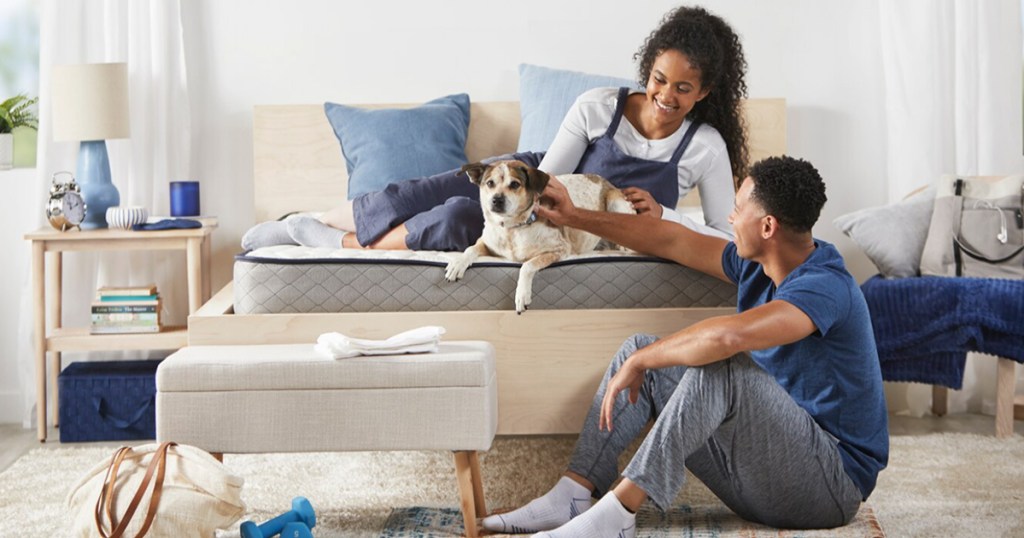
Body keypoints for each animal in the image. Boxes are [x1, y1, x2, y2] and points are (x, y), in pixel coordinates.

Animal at [446, 158, 634, 315]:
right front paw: (457, 263)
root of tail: (605, 181)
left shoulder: (560, 249)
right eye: (490, 183)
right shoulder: (486, 242)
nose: (496, 200)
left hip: (615, 202)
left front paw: (522, 295)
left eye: (515, 184)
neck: (512, 229)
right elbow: (470, 249)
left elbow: (527, 265)